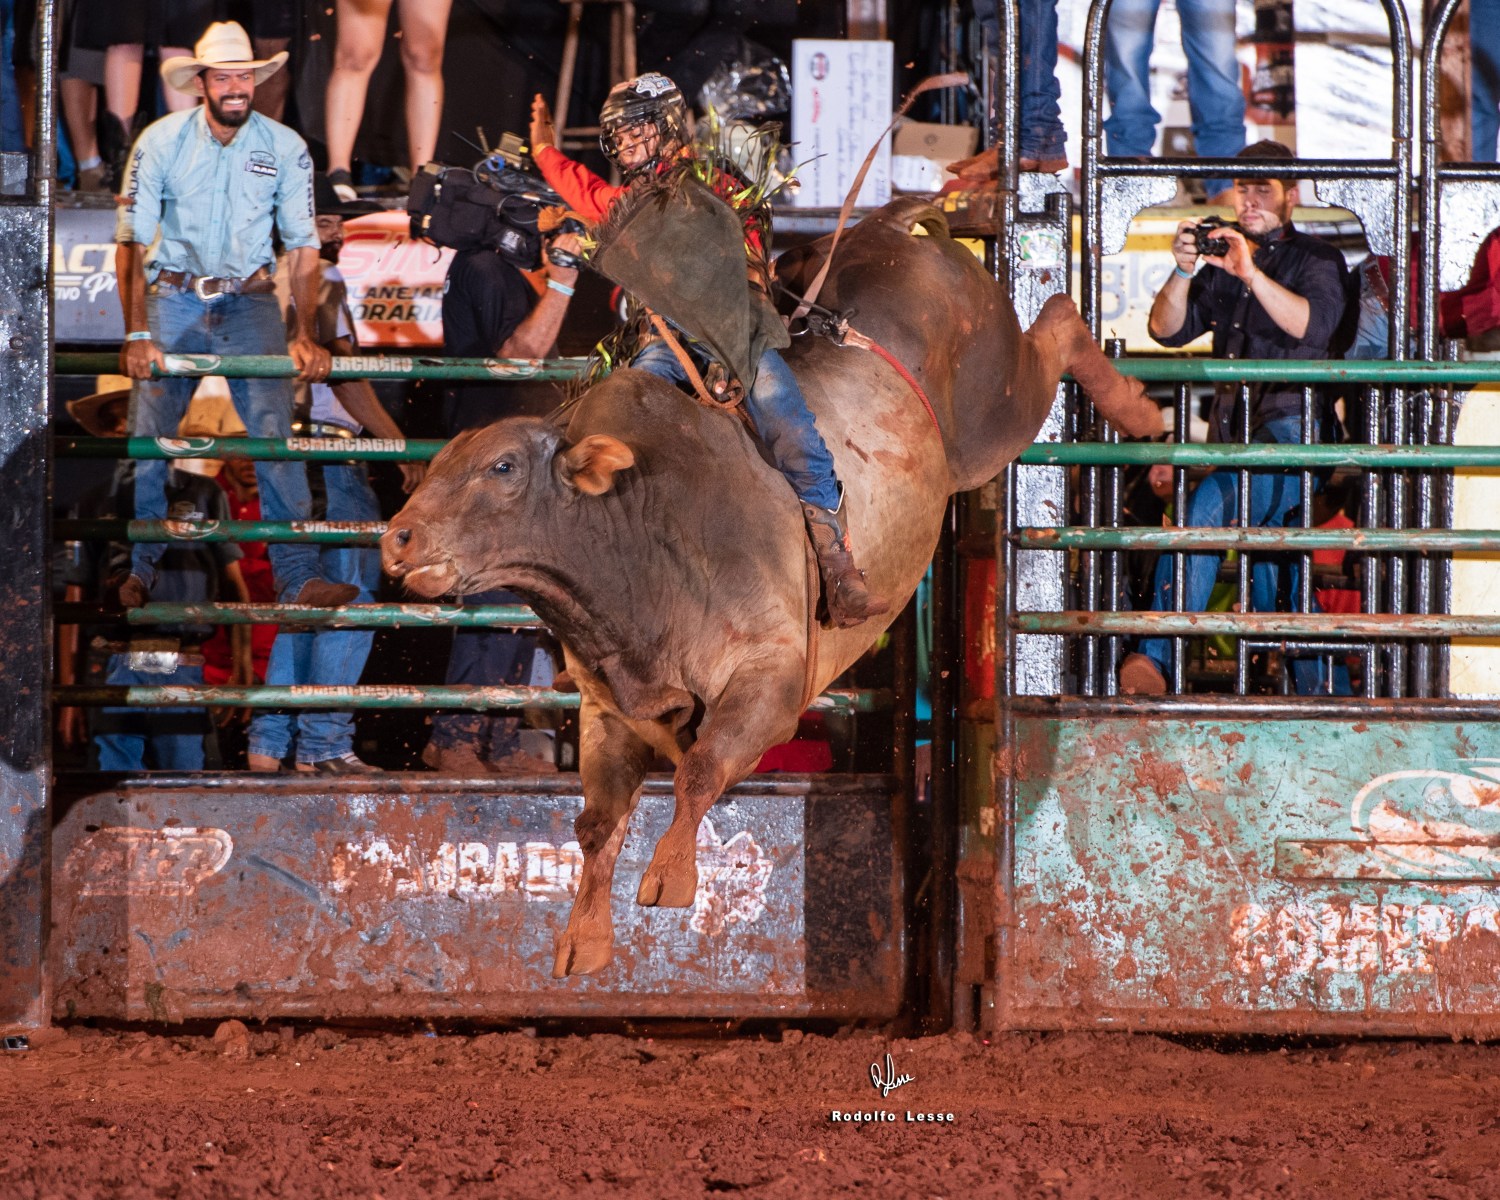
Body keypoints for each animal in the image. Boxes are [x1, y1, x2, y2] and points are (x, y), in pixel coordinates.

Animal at [381, 196, 1152, 978]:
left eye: (503, 467)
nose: (397, 538)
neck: (637, 539)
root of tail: (896, 225)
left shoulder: (770, 678)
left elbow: (700, 770)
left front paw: (672, 876)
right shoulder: (609, 710)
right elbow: (598, 822)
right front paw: (584, 937)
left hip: (998, 408)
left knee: (1056, 317)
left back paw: (1135, 405)